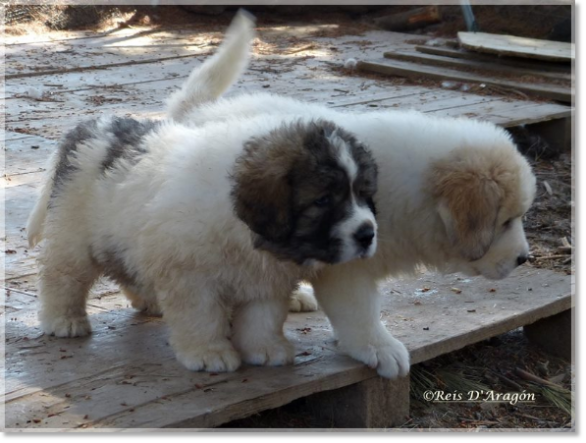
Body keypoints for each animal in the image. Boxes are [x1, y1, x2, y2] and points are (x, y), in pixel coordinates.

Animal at [25, 12, 376, 374]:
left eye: (363, 194)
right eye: (323, 200)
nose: (368, 234)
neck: (240, 226)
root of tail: (87, 129)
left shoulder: (266, 280)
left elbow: (263, 317)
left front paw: (265, 349)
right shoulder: (191, 276)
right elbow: (201, 317)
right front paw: (210, 353)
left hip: (126, 235)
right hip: (74, 235)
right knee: (62, 275)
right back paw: (63, 319)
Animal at [167, 14, 536, 382]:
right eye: (505, 221)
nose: (524, 259)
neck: (410, 190)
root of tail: (201, 109)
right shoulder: (347, 264)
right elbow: (360, 311)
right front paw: (381, 347)